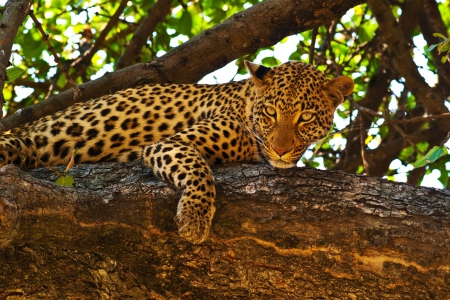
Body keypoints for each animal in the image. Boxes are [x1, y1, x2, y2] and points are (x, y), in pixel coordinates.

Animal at [0, 60, 356, 244]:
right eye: (271, 113)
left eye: (305, 117)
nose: (282, 150)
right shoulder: (171, 143)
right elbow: (199, 170)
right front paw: (195, 218)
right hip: (27, 141)